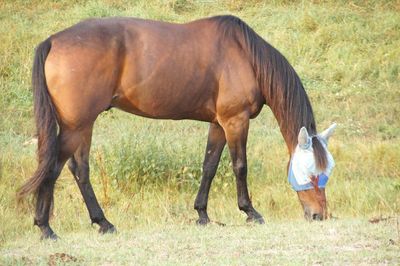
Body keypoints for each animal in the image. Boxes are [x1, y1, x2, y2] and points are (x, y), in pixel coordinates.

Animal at [19, 15, 338, 239]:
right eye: (313, 171)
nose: (319, 215)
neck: (246, 55)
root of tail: (54, 41)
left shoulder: (218, 124)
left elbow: (209, 166)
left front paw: (202, 215)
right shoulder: (235, 121)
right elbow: (239, 166)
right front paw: (250, 212)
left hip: (82, 125)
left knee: (79, 169)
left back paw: (103, 223)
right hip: (77, 126)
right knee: (54, 167)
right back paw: (46, 228)